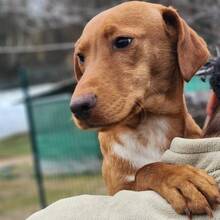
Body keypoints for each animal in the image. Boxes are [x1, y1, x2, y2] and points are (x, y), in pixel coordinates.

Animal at [71, 1, 220, 218]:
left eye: (123, 41)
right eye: (81, 57)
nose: (77, 107)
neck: (149, 126)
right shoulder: (117, 190)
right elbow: (146, 169)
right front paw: (180, 177)